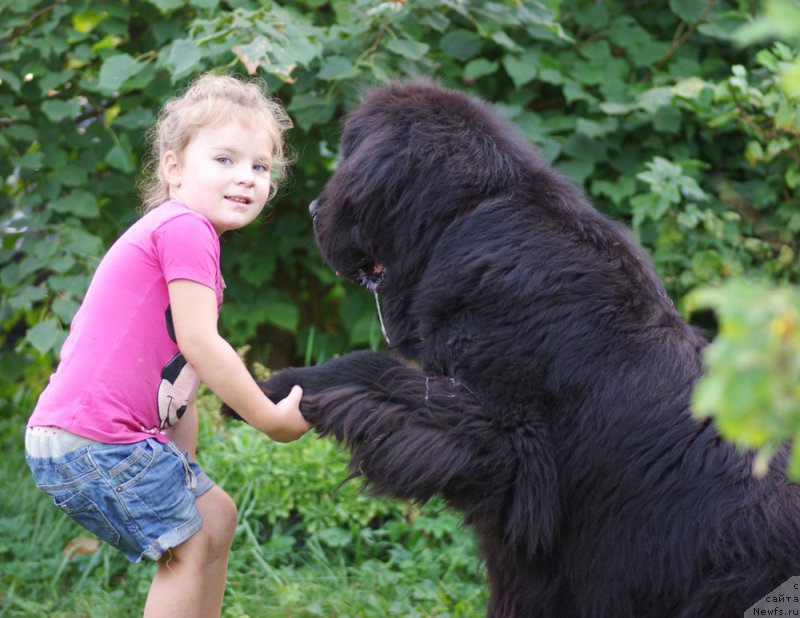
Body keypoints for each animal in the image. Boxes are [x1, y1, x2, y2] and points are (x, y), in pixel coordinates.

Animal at [225, 82, 800, 616]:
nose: (312, 206)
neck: (469, 214)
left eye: (348, 157)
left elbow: (368, 366)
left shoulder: (511, 447)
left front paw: (270, 388)